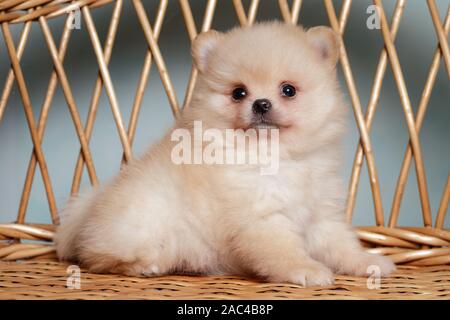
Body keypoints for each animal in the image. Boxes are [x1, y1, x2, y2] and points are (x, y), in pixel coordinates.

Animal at [55, 23, 394, 288]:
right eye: (238, 93)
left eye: (288, 90)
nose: (261, 103)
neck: (276, 156)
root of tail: (90, 210)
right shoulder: (260, 219)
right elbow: (283, 251)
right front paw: (306, 270)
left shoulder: (321, 215)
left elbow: (341, 244)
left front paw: (368, 262)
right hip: (140, 223)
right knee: (97, 257)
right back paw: (146, 265)